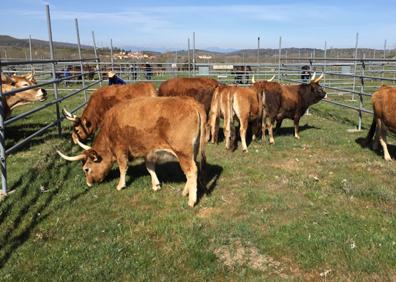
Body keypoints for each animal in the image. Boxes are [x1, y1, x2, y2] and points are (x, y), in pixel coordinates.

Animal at [59, 96, 207, 207]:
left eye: (86, 169)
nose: (88, 184)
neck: (109, 129)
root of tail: (190, 102)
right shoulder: (149, 151)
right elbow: (150, 168)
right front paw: (155, 184)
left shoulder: (120, 150)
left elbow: (123, 168)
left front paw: (120, 185)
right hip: (191, 152)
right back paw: (185, 191)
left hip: (183, 153)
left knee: (191, 171)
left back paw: (191, 200)